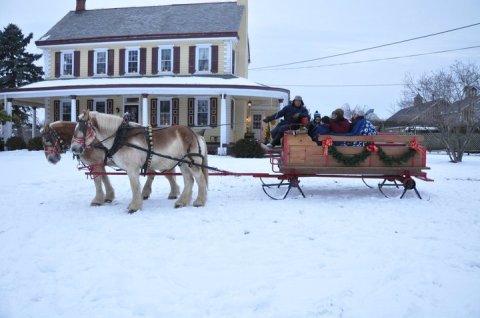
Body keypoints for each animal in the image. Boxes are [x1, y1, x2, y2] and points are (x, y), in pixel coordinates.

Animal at [40, 120, 180, 206]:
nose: (51, 159)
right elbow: (104, 178)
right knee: (162, 174)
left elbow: (98, 181)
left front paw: (98, 200)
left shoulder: (95, 162)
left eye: (47, 139)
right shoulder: (100, 163)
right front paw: (109, 196)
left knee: (163, 174)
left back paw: (169, 192)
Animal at [71, 110, 208, 212]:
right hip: (183, 163)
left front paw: (134, 207)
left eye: (82, 127)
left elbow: (133, 186)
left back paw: (199, 201)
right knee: (189, 180)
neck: (120, 137)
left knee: (199, 179)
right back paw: (181, 202)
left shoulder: (131, 168)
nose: (74, 148)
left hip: (192, 163)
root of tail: (195, 134)